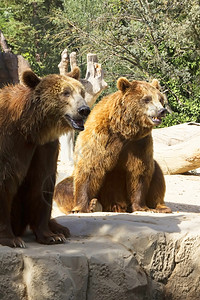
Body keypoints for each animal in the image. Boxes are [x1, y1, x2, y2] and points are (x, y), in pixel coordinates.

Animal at [0, 67, 90, 247]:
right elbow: (5, 182)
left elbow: (42, 182)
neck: (29, 129)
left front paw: (51, 236)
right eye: (65, 92)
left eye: (81, 92)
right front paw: (12, 239)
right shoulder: (9, 142)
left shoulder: (45, 146)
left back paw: (59, 228)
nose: (84, 110)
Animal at [54, 76, 172, 214]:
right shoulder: (101, 138)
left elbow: (139, 172)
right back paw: (96, 205)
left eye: (160, 99)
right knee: (62, 187)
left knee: (157, 173)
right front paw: (81, 207)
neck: (124, 130)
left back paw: (161, 207)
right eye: (147, 99)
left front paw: (141, 207)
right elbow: (89, 170)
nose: (162, 110)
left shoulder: (139, 144)